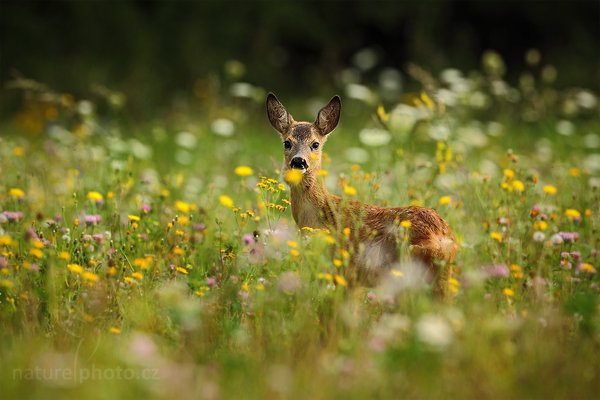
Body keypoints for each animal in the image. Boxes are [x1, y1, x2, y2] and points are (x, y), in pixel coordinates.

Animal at [264, 92, 458, 296]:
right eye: (287, 143)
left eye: (315, 144)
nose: (299, 161)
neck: (321, 216)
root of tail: (443, 237)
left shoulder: (348, 273)